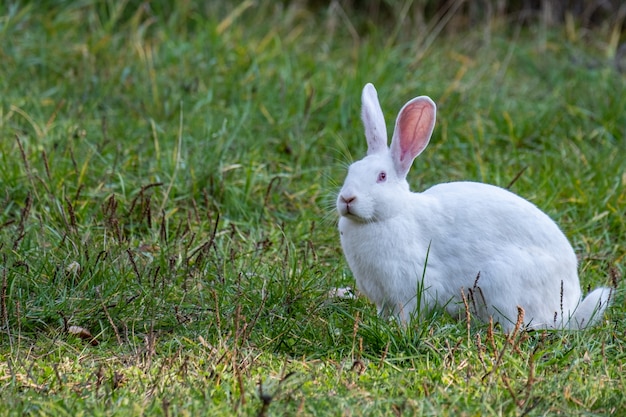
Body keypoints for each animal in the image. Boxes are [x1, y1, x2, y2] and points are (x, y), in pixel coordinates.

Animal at [336, 83, 608, 330]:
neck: (387, 216)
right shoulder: (382, 296)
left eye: (381, 177)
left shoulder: (412, 286)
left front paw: (400, 329)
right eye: (351, 171)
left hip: (501, 282)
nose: (347, 199)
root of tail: (567, 309)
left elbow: (408, 313)